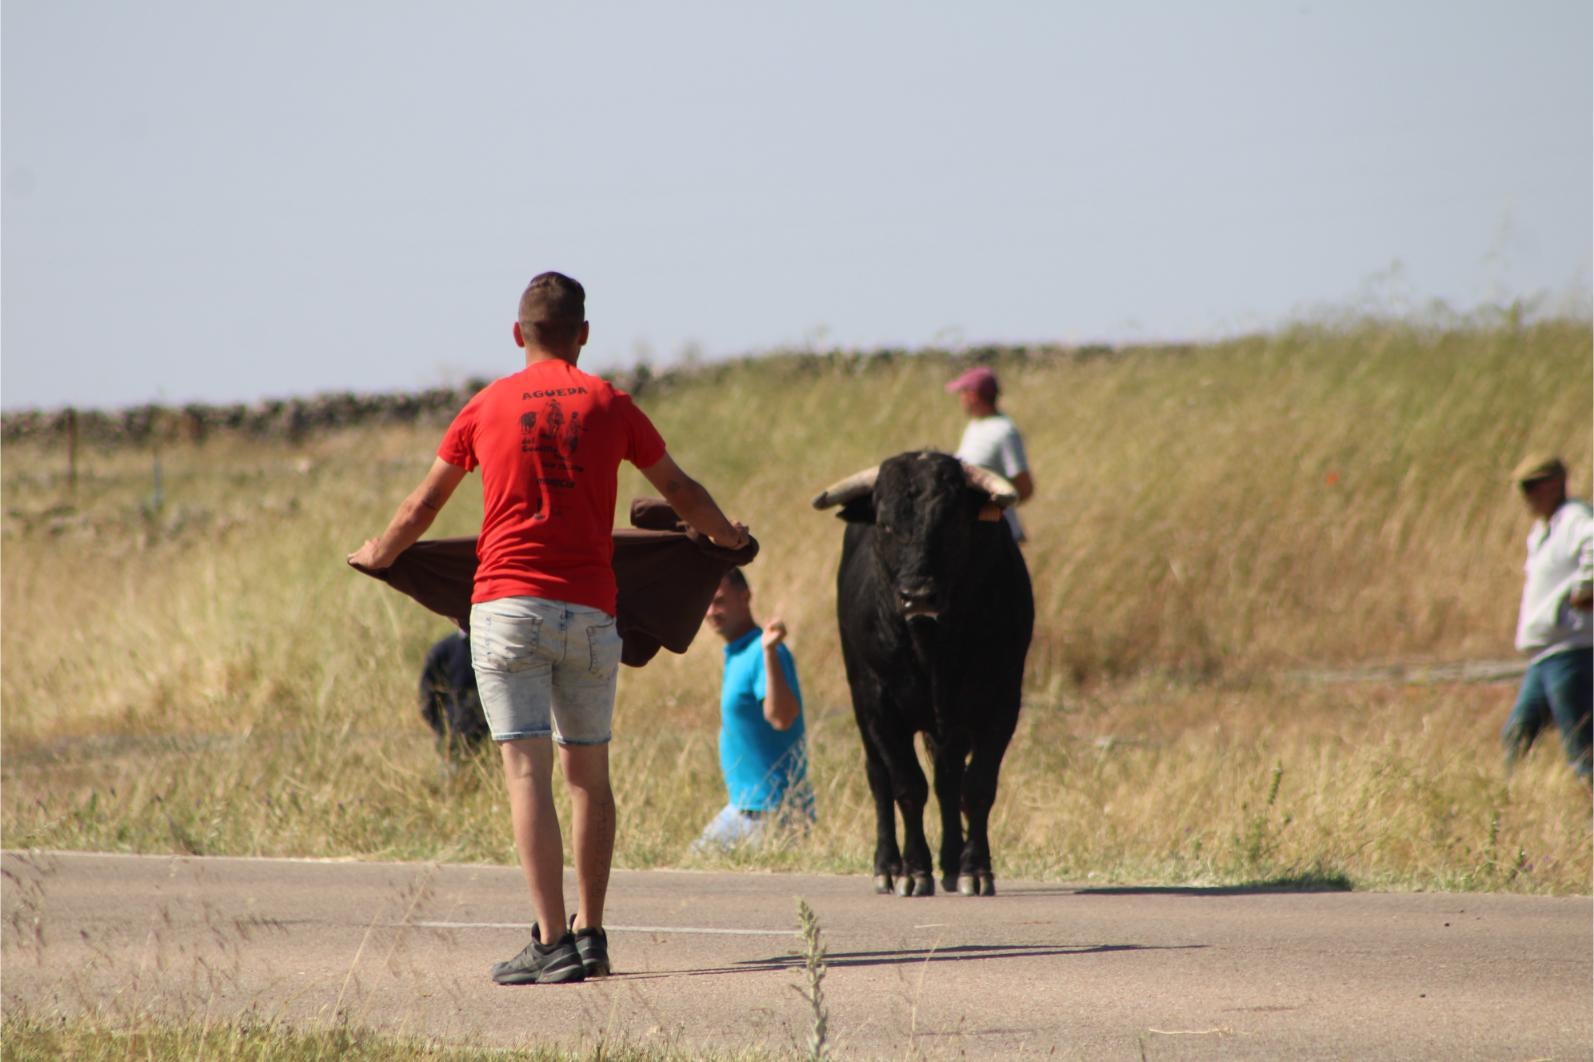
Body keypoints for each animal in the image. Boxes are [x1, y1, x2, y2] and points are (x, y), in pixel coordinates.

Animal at [809, 446, 1032, 892]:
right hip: (863, 705)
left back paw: (950, 863)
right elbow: (907, 787)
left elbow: (977, 787)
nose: (917, 595)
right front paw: (913, 871)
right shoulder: (878, 704)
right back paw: (887, 867)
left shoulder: (1002, 700)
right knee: (879, 779)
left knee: (948, 780)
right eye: (885, 523)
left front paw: (975, 870)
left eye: (950, 522)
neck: (931, 644)